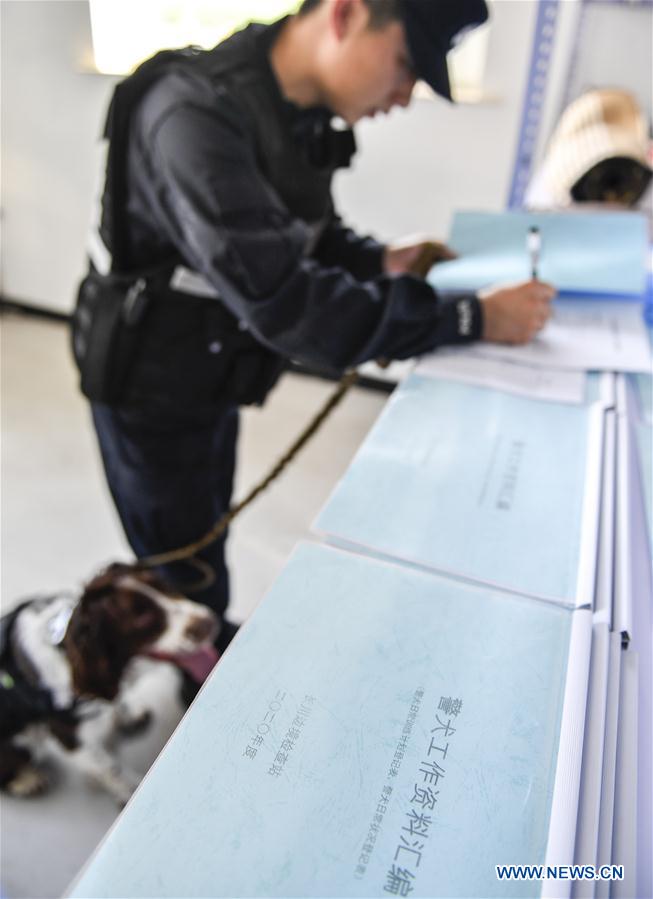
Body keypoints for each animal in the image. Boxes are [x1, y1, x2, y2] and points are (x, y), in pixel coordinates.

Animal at [0, 568, 220, 804]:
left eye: (164, 587)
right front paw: (130, 792)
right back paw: (27, 780)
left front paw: (130, 714)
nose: (209, 622)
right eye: (142, 619)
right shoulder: (71, 737)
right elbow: (109, 768)